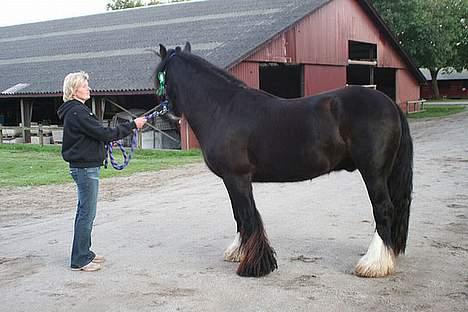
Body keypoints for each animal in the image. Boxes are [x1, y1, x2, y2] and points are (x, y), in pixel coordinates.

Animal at [154, 42, 414, 278]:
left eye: (160, 77)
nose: (168, 114)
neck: (222, 108)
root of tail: (390, 103)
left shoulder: (237, 177)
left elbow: (248, 215)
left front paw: (254, 266)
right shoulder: (233, 180)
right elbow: (239, 215)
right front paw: (239, 252)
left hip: (373, 173)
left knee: (383, 209)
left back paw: (373, 264)